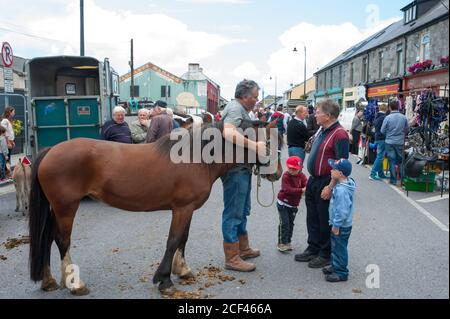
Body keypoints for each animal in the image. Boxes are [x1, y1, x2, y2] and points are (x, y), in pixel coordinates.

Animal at [28, 120, 282, 298]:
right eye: (269, 145)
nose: (278, 173)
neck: (196, 159)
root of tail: (51, 150)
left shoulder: (188, 209)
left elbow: (183, 239)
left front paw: (183, 270)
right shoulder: (182, 208)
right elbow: (174, 240)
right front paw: (164, 280)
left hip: (57, 208)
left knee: (47, 238)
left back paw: (49, 281)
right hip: (66, 207)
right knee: (62, 240)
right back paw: (75, 285)